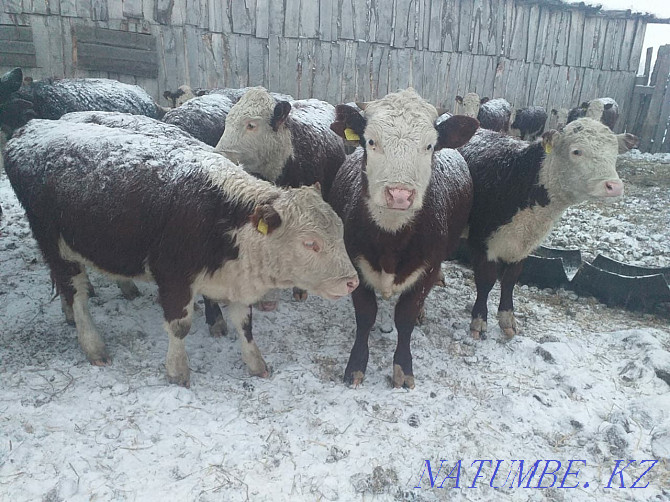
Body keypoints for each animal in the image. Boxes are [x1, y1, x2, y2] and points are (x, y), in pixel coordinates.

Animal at [3, 119, 362, 386]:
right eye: (310, 243)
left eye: (340, 232)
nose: (352, 282)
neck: (221, 216)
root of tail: (31, 128)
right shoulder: (172, 276)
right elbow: (179, 327)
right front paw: (177, 371)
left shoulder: (236, 282)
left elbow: (245, 325)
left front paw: (256, 363)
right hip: (54, 241)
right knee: (75, 292)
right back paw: (92, 343)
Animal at [328, 89, 480, 388]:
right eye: (371, 141)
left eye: (429, 146)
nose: (399, 194)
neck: (391, 239)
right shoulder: (355, 263)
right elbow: (366, 315)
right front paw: (356, 366)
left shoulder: (427, 269)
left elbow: (406, 317)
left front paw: (403, 369)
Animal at [462, 116, 640, 342]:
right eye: (576, 151)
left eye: (615, 152)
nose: (614, 186)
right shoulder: (482, 241)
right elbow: (486, 281)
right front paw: (478, 321)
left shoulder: (522, 246)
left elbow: (510, 280)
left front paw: (507, 320)